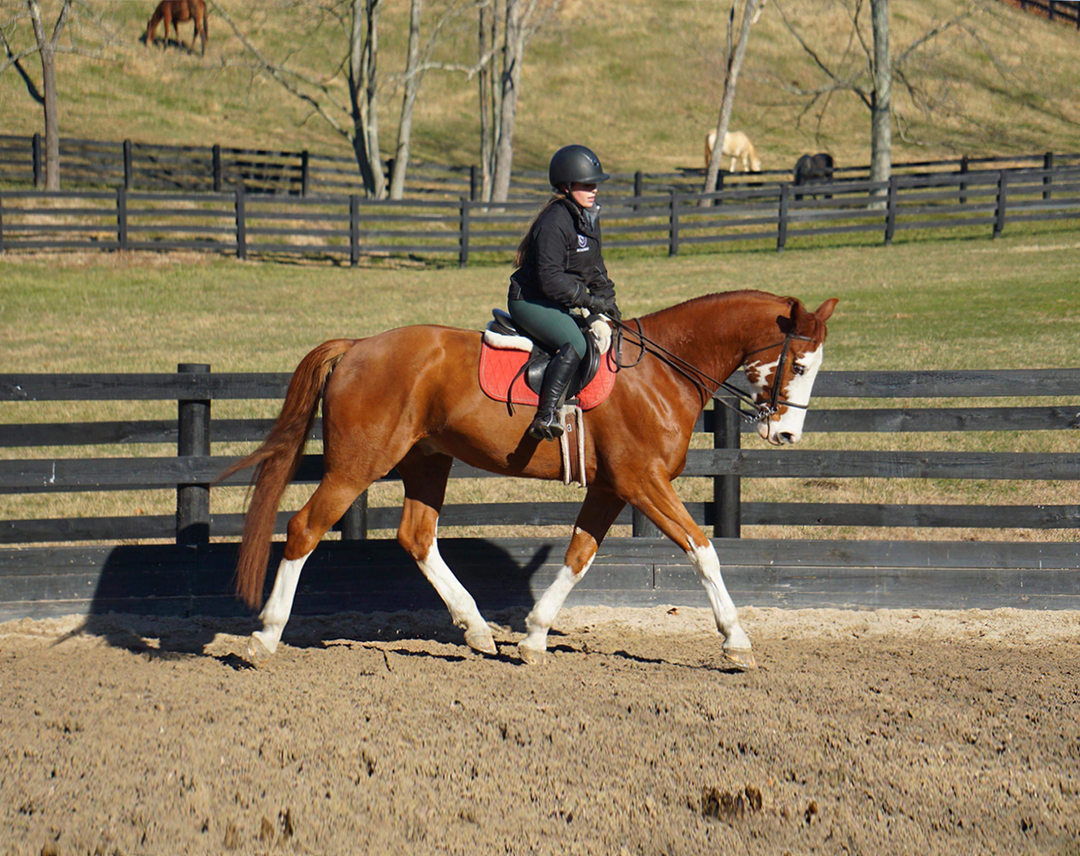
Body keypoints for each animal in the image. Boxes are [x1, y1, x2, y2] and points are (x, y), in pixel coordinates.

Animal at [220, 290, 838, 671]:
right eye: (799, 365)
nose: (787, 435)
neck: (661, 372)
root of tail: (357, 346)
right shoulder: (644, 482)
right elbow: (702, 549)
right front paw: (736, 641)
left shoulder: (611, 487)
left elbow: (578, 556)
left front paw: (535, 634)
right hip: (356, 466)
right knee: (304, 529)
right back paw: (264, 635)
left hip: (426, 461)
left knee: (417, 537)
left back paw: (476, 628)